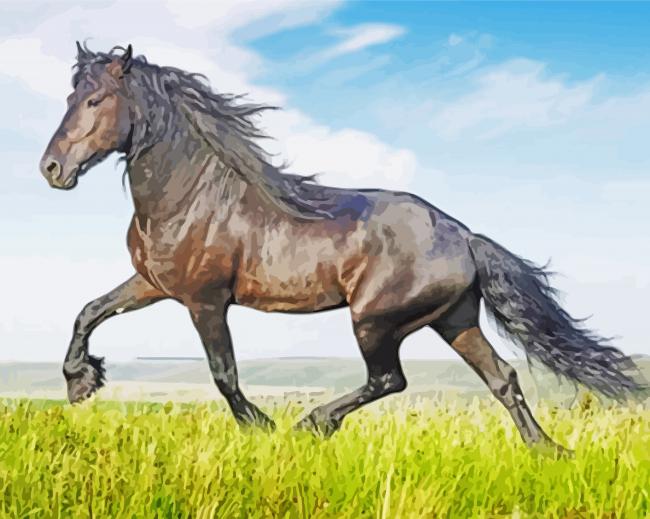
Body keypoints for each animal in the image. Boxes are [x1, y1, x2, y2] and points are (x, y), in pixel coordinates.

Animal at [40, 43, 645, 451]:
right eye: (70, 96)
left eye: (95, 99)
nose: (51, 169)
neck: (193, 195)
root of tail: (464, 236)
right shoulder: (154, 284)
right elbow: (88, 311)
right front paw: (80, 383)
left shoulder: (204, 300)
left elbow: (223, 373)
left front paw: (260, 426)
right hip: (454, 319)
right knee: (502, 378)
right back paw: (547, 451)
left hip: (375, 319)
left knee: (390, 379)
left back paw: (313, 423)